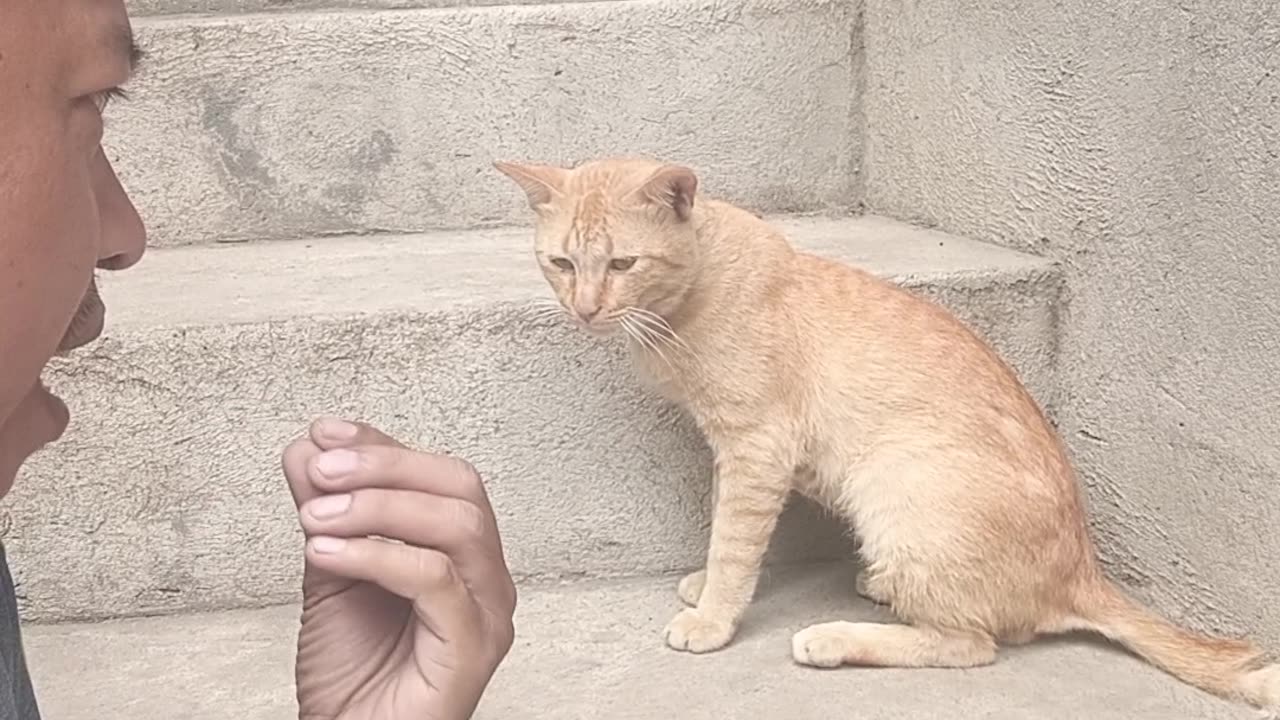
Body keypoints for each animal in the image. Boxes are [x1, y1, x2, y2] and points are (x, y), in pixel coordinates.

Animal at [494, 154, 1274, 702]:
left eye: (623, 262)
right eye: (561, 262)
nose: (585, 309)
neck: (692, 295)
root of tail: (1085, 572)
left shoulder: (756, 449)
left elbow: (735, 542)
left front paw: (714, 615)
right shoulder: (737, 451)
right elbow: (725, 533)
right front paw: (707, 585)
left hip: (896, 481)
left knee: (973, 643)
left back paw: (837, 637)